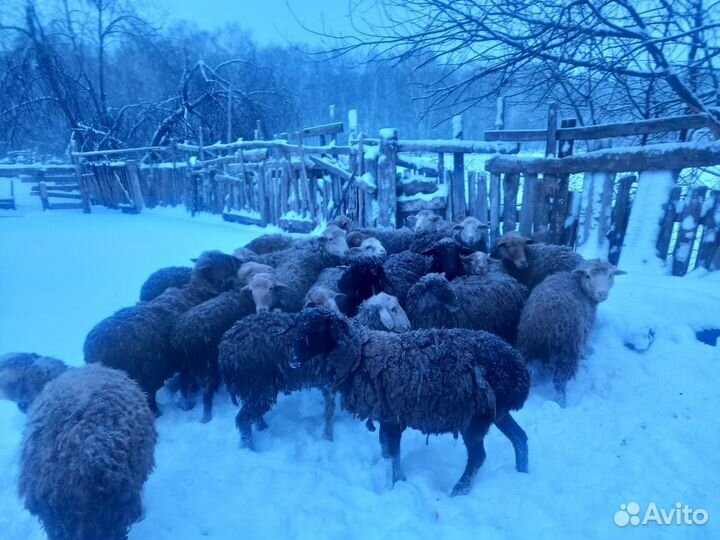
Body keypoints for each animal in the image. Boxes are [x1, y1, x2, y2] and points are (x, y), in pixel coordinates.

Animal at [84, 250, 241, 413]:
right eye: (223, 260)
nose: (239, 261)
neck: (199, 292)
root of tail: (90, 351)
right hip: (143, 377)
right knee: (149, 399)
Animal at [218, 293, 412, 449]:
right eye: (394, 309)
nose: (409, 326)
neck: (357, 335)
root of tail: (225, 350)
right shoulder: (330, 382)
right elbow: (329, 411)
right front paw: (328, 437)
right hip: (259, 385)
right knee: (242, 420)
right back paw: (250, 448)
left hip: (255, 388)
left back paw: (262, 427)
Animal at [292, 308, 531, 496]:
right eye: (298, 329)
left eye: (316, 330)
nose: (292, 360)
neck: (361, 354)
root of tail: (520, 370)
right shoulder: (387, 414)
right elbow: (386, 447)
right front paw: (387, 468)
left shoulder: (393, 416)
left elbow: (394, 452)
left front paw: (398, 482)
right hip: (497, 412)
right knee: (519, 437)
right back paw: (523, 471)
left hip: (475, 419)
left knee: (478, 457)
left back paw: (458, 490)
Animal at [516, 259, 625, 407]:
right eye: (588, 276)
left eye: (610, 275)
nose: (602, 293)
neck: (578, 284)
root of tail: (546, 319)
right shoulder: (585, 330)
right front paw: (584, 355)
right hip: (568, 350)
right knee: (560, 381)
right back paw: (561, 401)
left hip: (526, 343)